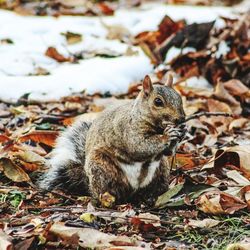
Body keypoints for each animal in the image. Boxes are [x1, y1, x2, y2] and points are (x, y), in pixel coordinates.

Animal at [39, 75, 186, 204]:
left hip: (162, 171)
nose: (181, 119)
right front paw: (167, 135)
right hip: (101, 169)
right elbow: (139, 145)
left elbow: (167, 152)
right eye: (158, 102)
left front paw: (181, 132)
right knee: (108, 190)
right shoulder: (127, 130)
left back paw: (152, 197)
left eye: (179, 97)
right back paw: (109, 198)